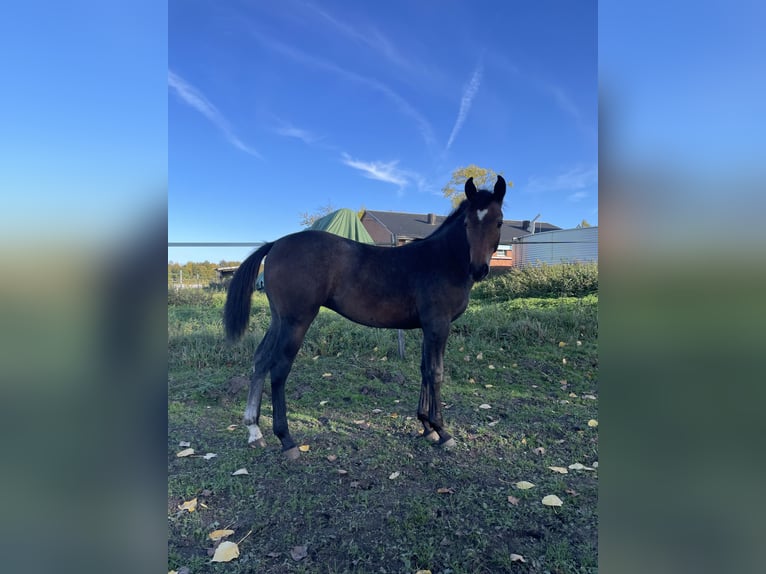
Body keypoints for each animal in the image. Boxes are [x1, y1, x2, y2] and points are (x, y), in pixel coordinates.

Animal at [224, 175, 506, 459]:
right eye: (468, 223)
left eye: (498, 222)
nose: (479, 269)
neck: (442, 260)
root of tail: (276, 244)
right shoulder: (438, 324)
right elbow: (436, 372)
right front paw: (442, 430)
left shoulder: (428, 327)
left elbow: (424, 369)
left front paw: (426, 427)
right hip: (296, 322)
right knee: (279, 369)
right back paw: (287, 440)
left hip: (279, 320)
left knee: (260, 360)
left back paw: (254, 431)